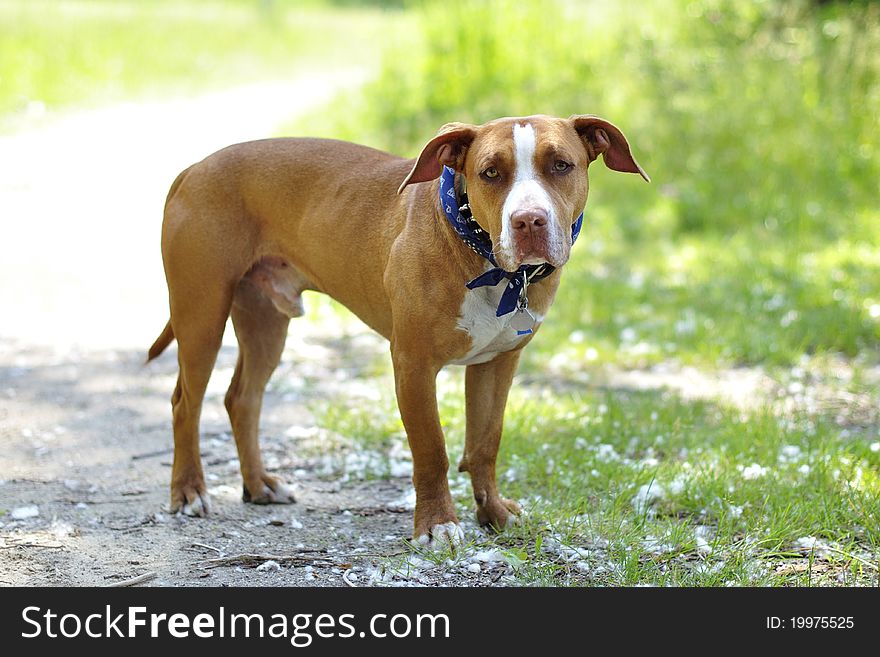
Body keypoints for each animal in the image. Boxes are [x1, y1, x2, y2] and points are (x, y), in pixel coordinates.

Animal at [148, 113, 648, 544]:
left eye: (561, 165)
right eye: (490, 173)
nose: (528, 220)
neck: (486, 259)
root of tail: (194, 169)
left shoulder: (497, 364)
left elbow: (485, 443)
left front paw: (493, 514)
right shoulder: (413, 365)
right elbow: (432, 450)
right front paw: (438, 525)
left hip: (265, 321)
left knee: (243, 399)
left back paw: (258, 486)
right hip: (201, 314)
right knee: (184, 403)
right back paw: (188, 492)